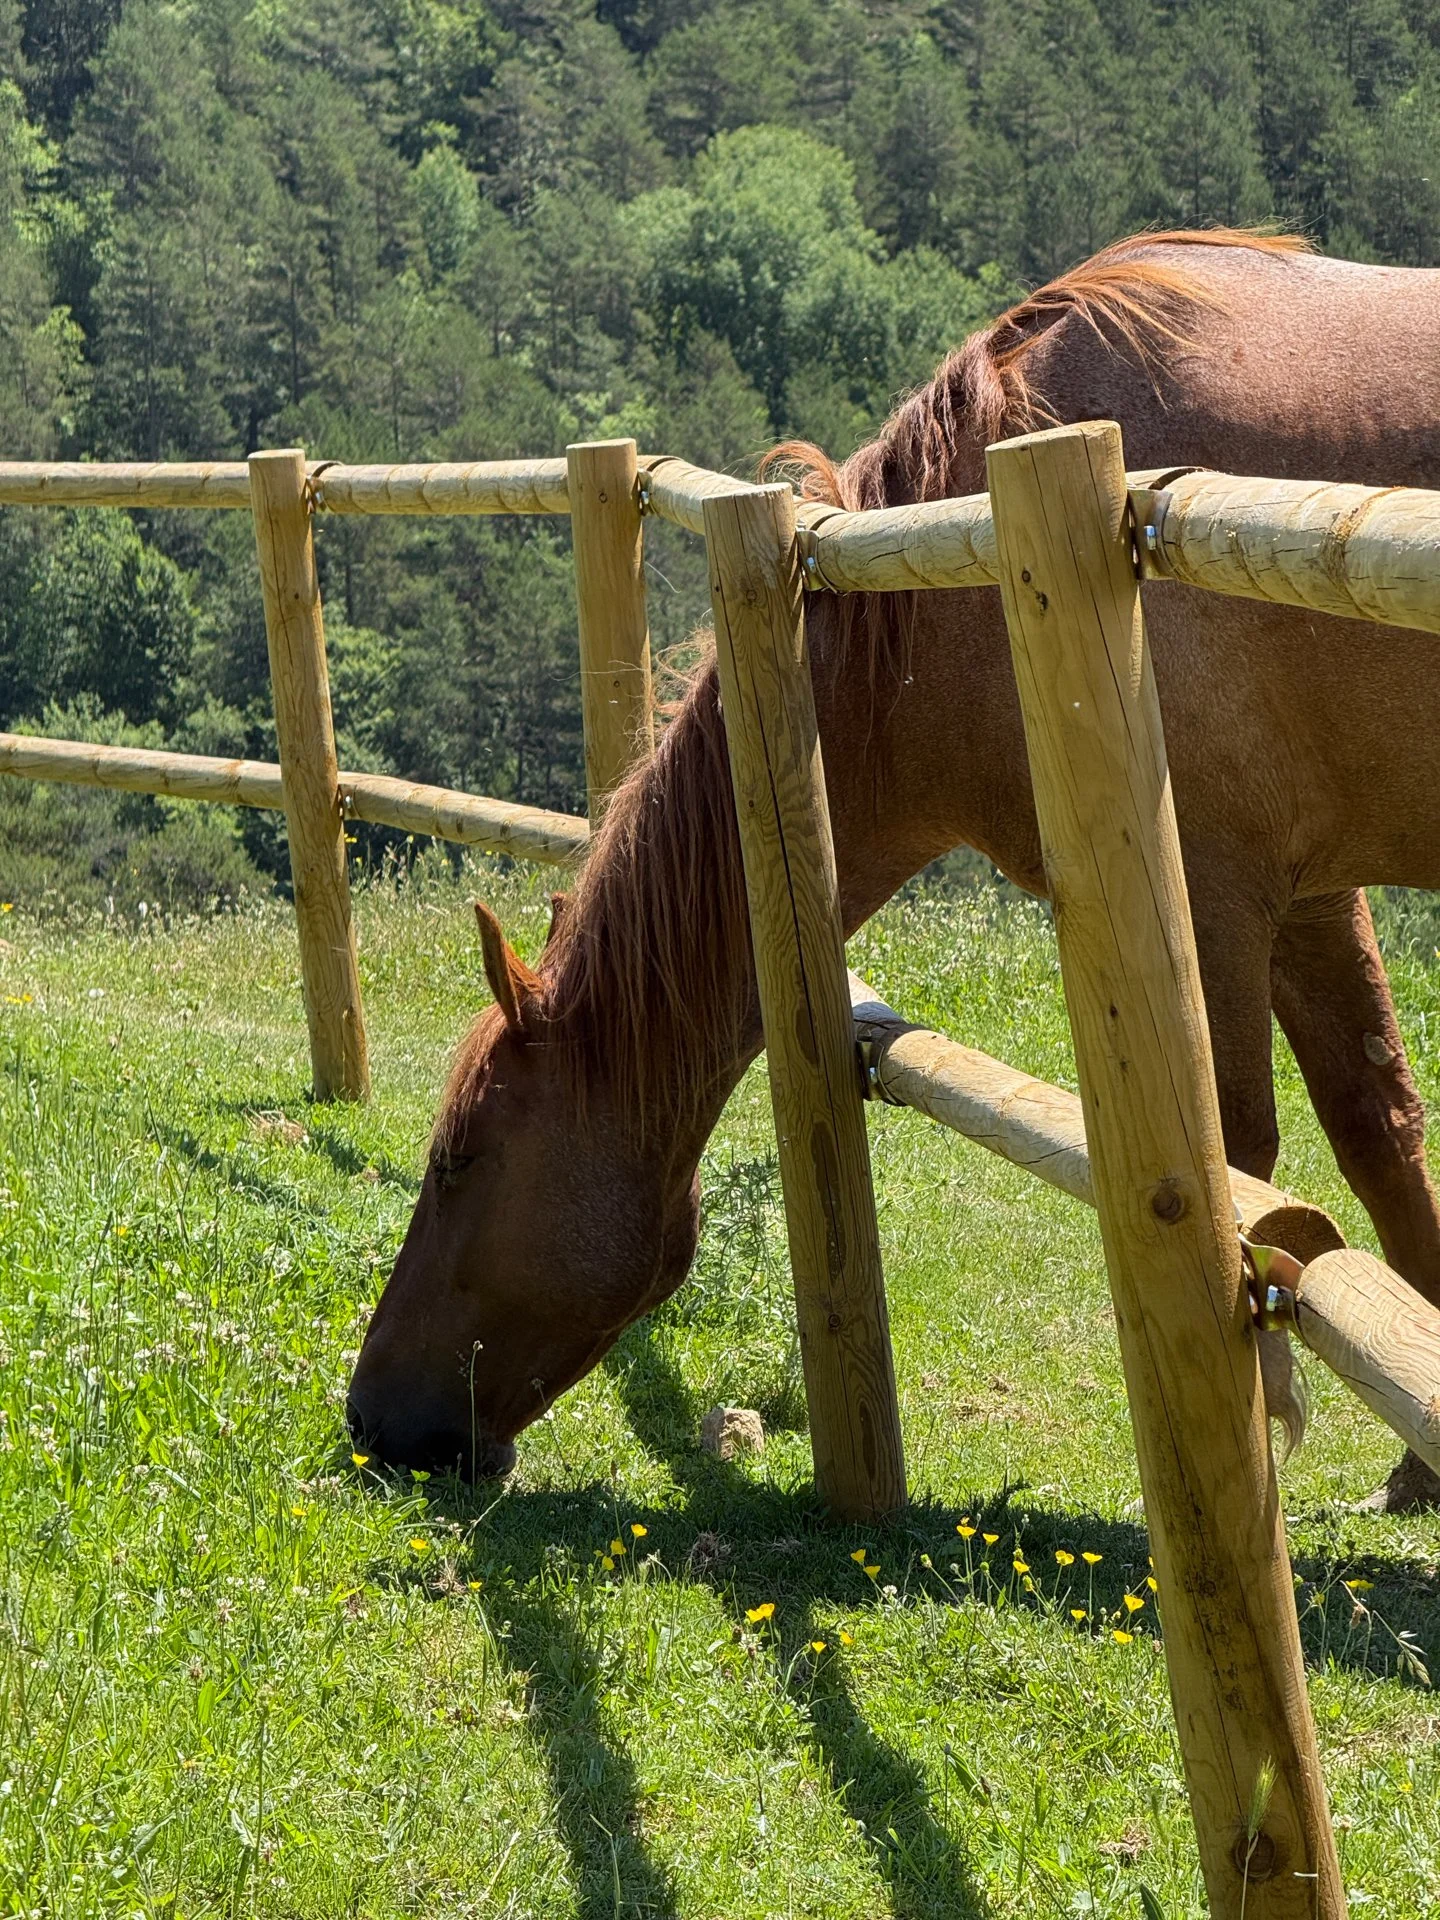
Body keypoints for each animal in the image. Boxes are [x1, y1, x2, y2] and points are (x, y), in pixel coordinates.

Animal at [347, 228, 1440, 1510]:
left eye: (459, 1160)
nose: (373, 1418)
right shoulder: (1309, 890)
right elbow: (1379, 1133)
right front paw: (1420, 1468)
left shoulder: (1215, 896)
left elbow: (1241, 1167)